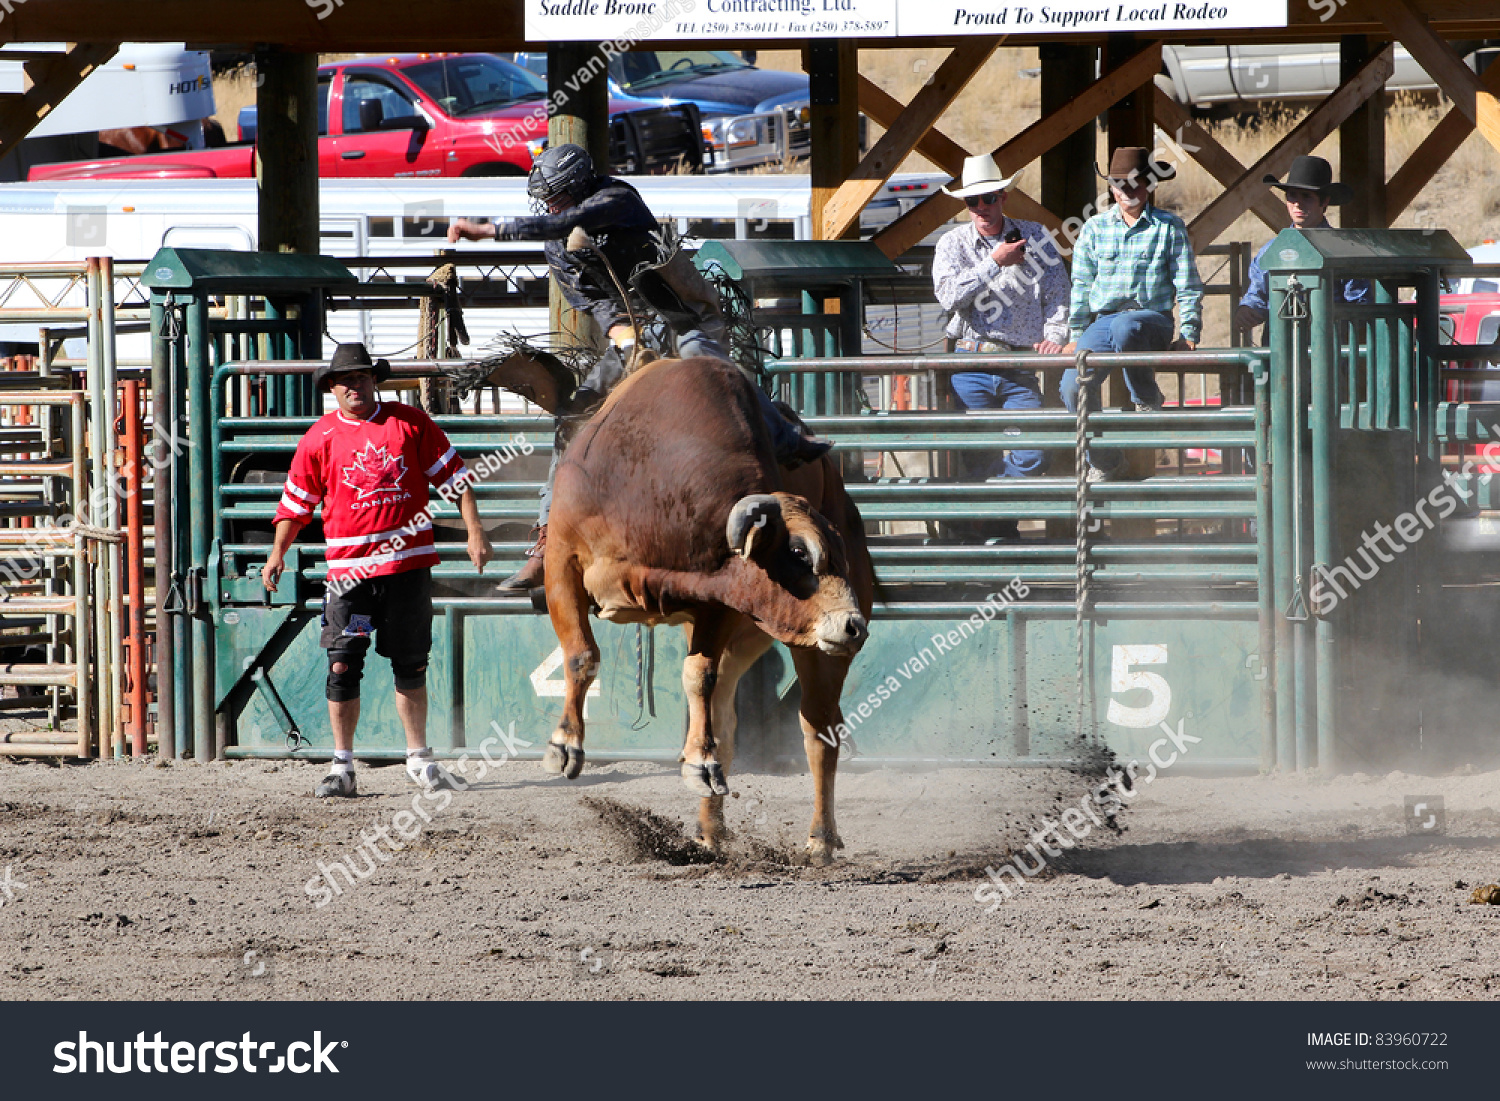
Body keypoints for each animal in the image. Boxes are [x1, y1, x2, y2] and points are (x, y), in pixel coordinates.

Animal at [540, 358, 876, 864]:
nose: (854, 625)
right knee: (727, 721)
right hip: (747, 639)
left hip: (817, 651)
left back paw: (820, 837)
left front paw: (699, 764)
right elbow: (581, 655)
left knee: (818, 730)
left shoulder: (716, 597)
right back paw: (710, 827)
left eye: (842, 560)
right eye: (799, 553)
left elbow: (697, 674)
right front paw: (565, 746)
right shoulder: (562, 559)